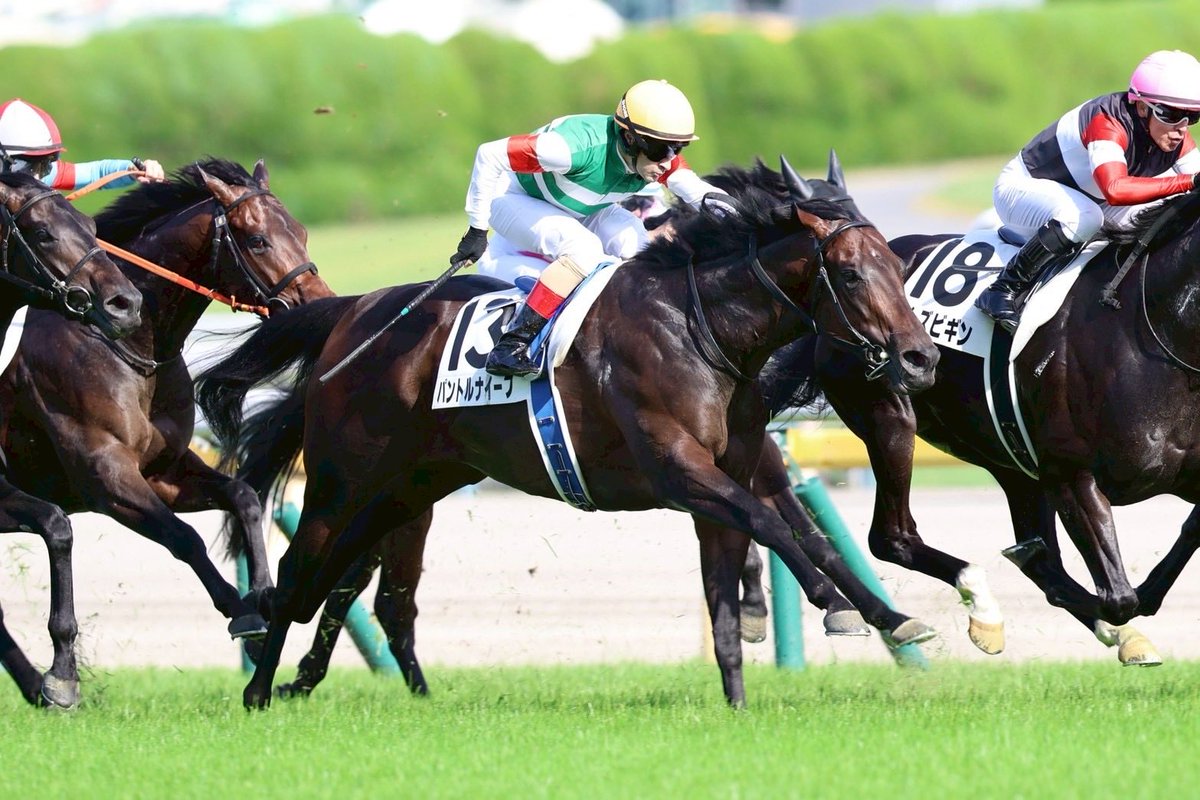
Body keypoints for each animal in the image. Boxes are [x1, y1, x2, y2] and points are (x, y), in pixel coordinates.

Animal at [0, 170, 144, 707]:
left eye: (91, 224)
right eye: (42, 232)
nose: (126, 304)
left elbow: (57, 526)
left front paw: (58, 677)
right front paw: (60, 675)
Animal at [196, 165, 942, 709]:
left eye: (896, 265)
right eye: (851, 273)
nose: (919, 358)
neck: (698, 326)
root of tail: (351, 313)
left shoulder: (734, 468)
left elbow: (768, 557)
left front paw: (870, 624)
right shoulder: (680, 471)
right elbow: (774, 526)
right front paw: (836, 606)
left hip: (407, 490)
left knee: (346, 583)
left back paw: (294, 677)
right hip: (341, 482)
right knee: (302, 574)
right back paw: (259, 687)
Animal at [770, 182, 1200, 665]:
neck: (1149, 328)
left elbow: (1169, 553)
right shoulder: (1072, 475)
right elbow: (1118, 597)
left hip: (1011, 460)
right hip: (891, 416)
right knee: (891, 537)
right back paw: (983, 608)